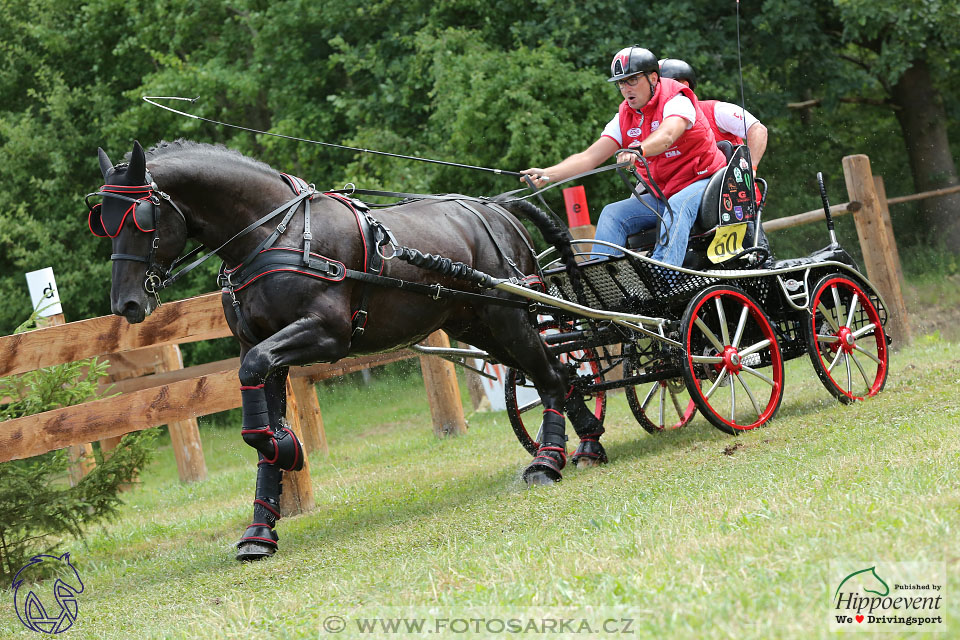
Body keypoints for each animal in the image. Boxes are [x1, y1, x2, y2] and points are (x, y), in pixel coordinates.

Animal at [88, 141, 600, 560]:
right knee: (559, 372)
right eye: (104, 224)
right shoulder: (260, 347)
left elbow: (259, 402)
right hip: (479, 325)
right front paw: (261, 527)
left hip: (507, 317)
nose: (126, 303)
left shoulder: (324, 334)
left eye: (142, 219)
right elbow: (258, 424)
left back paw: (547, 460)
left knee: (550, 375)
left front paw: (287, 449)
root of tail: (497, 208)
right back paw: (588, 443)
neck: (273, 235)